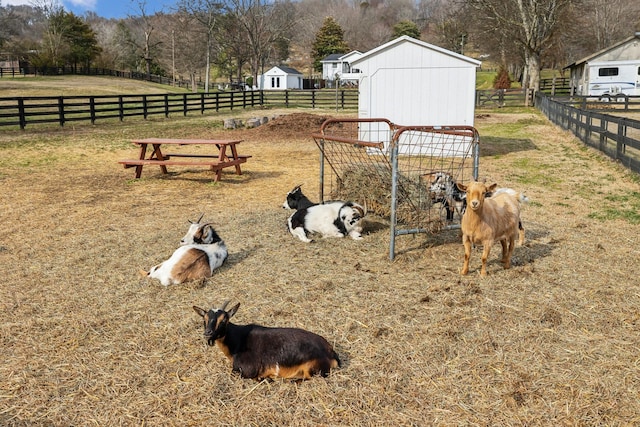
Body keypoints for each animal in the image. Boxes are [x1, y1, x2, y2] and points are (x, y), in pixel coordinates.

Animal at [192, 300, 340, 382]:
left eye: (224, 320)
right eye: (204, 319)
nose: (208, 333)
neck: (237, 340)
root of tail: (331, 353)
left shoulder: (247, 369)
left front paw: (265, 377)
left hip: (311, 369)